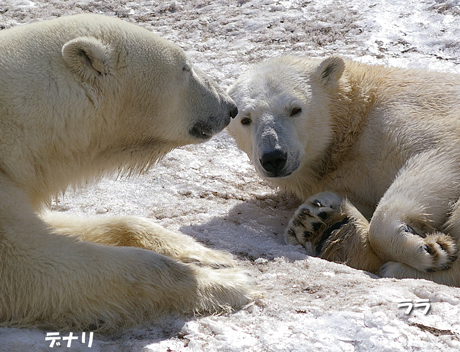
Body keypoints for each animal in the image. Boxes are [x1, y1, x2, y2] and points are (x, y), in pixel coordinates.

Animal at [228, 55, 460, 286]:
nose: (273, 157)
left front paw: (428, 250)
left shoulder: (412, 114)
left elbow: (437, 156)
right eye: (245, 119)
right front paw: (309, 218)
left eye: (295, 109)